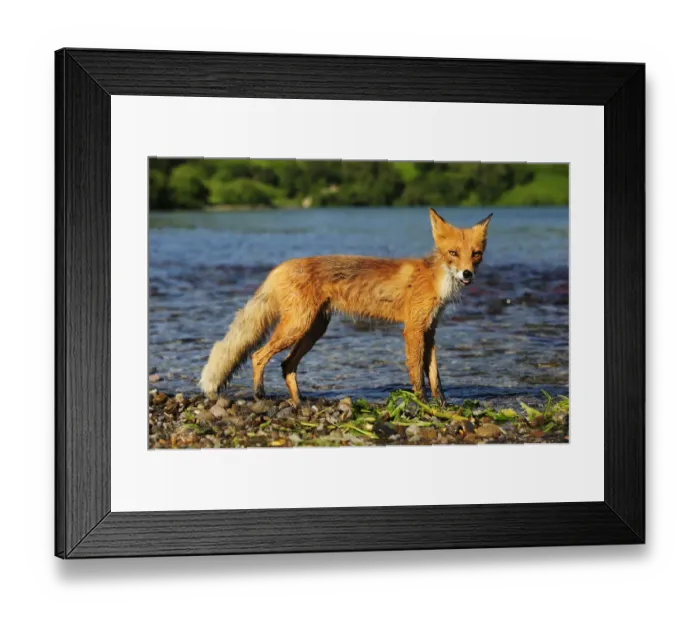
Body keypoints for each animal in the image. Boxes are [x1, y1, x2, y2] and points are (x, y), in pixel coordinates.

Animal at [200, 208, 492, 407]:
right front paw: (421, 405)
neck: (435, 280)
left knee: (286, 365)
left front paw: (442, 405)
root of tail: (281, 266)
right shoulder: (412, 329)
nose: (467, 274)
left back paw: (299, 402)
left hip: (313, 330)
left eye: (476, 254)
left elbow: (435, 376)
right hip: (297, 327)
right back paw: (260, 394)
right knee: (258, 355)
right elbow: (417, 374)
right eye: (453, 253)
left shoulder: (429, 330)